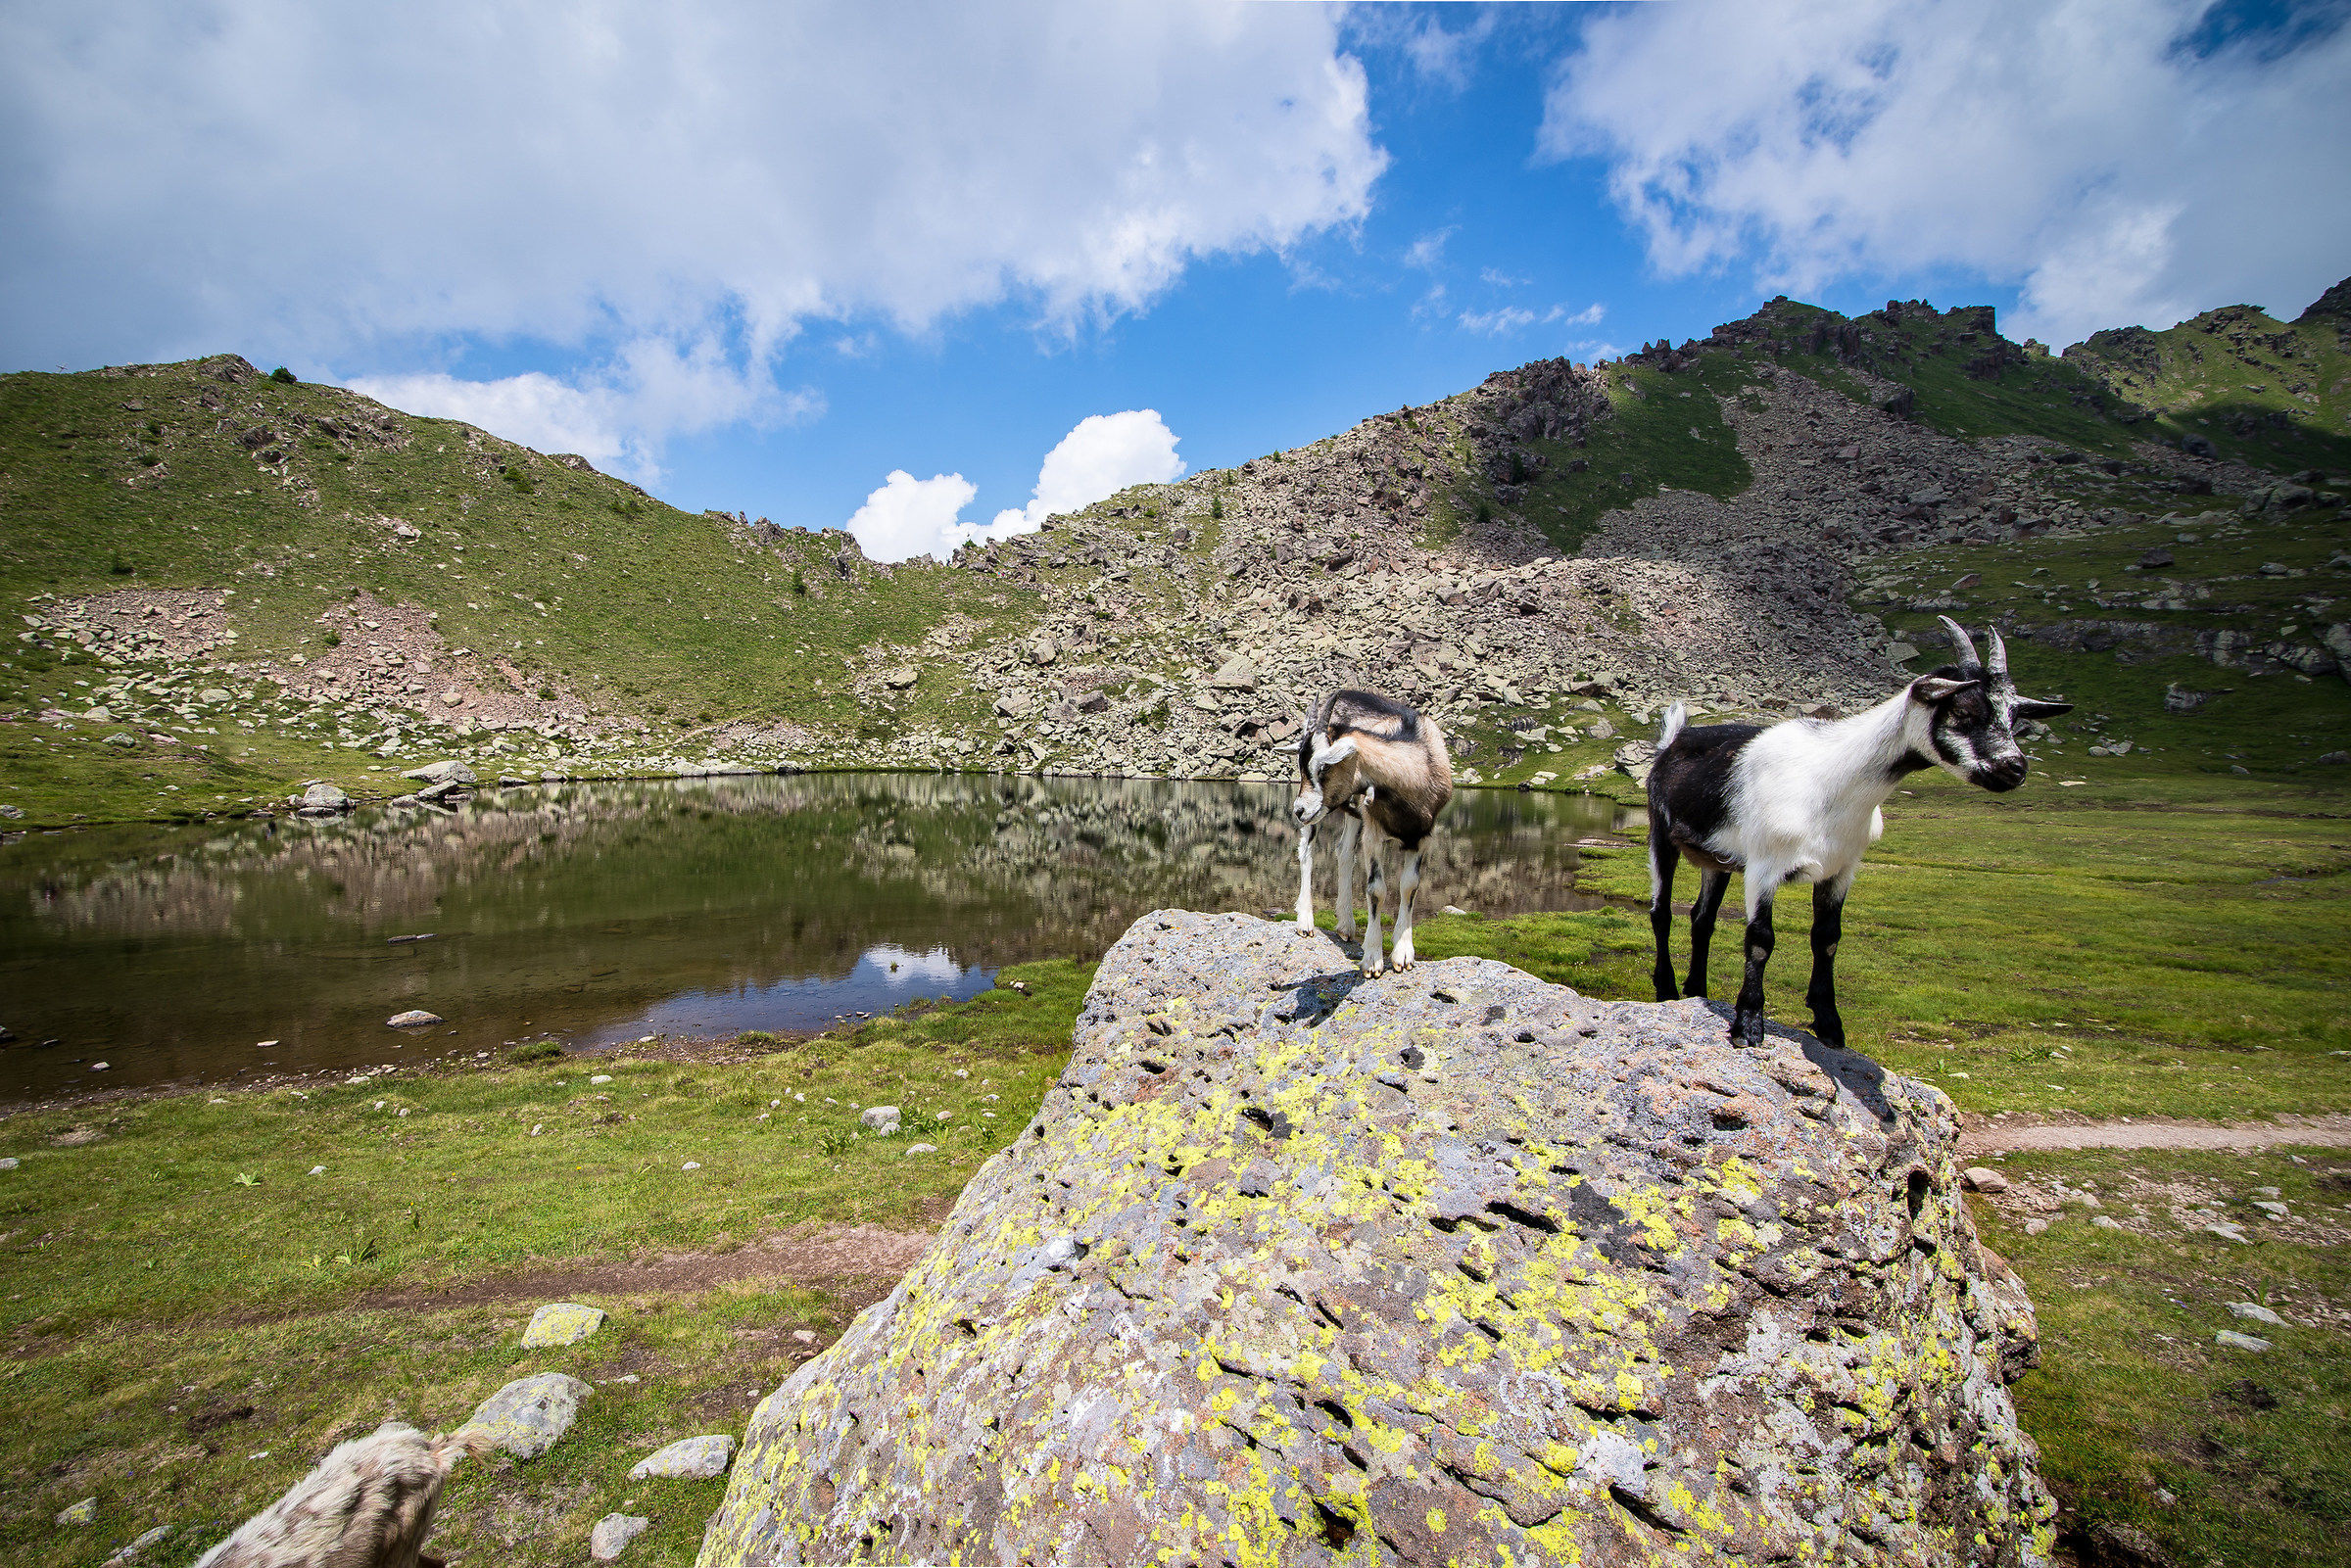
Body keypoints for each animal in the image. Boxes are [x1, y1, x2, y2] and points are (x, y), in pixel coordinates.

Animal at [1291, 689, 1454, 974]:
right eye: (1302, 765)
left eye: (1324, 767)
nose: (1298, 810)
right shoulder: (1374, 834)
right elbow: (1376, 889)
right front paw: (1373, 959)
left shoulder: (1422, 836)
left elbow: (1410, 886)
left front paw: (1403, 953)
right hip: (1325, 818)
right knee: (1307, 851)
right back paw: (1306, 921)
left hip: (1354, 811)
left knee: (1344, 851)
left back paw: (1346, 925)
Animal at [1645, 617, 2070, 1048]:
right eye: (1963, 710)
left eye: (2013, 719)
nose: (2015, 768)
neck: (1832, 779)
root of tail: (1674, 739)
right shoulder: (1764, 865)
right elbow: (1760, 939)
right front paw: (1748, 1024)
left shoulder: (1841, 868)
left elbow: (1827, 938)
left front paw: (1829, 1023)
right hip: (1661, 833)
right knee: (1661, 911)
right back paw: (1667, 989)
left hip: (1717, 858)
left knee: (1702, 919)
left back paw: (1697, 990)